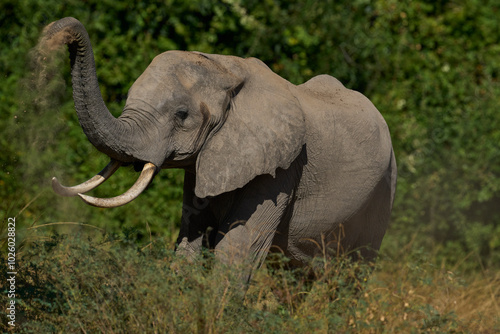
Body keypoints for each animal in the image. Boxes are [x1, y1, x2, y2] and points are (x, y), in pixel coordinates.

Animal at [43, 17, 396, 282]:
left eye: (181, 115)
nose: (58, 32)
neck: (226, 68)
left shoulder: (283, 168)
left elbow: (237, 250)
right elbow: (190, 240)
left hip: (383, 192)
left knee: (352, 275)